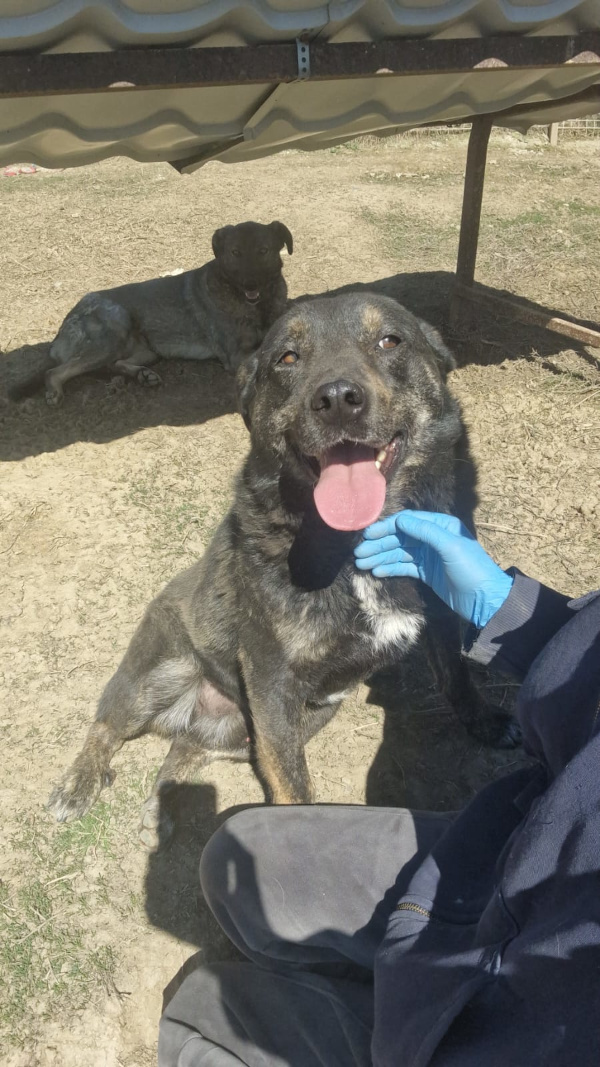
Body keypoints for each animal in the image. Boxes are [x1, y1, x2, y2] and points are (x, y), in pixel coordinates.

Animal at [18, 220, 292, 404]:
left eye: (263, 250)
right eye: (235, 252)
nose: (250, 284)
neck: (257, 305)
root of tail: (59, 333)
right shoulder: (236, 355)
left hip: (147, 351)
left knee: (113, 365)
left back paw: (142, 375)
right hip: (114, 327)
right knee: (56, 372)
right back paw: (55, 392)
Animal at [47, 293, 519, 849]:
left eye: (390, 341)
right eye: (287, 358)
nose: (338, 398)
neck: (355, 543)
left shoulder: (440, 613)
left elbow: (456, 676)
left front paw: (484, 722)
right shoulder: (271, 681)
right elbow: (293, 786)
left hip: (293, 718)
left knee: (186, 749)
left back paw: (160, 806)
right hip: (162, 674)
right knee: (105, 727)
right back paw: (77, 784)